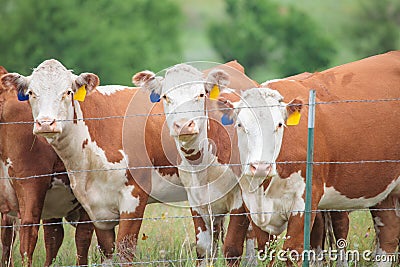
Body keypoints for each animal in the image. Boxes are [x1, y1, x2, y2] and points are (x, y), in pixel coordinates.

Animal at [217, 51, 400, 266]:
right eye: (240, 125)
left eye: (279, 125)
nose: (261, 167)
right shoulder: (254, 206)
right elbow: (266, 252)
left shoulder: (305, 200)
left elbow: (293, 251)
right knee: (388, 237)